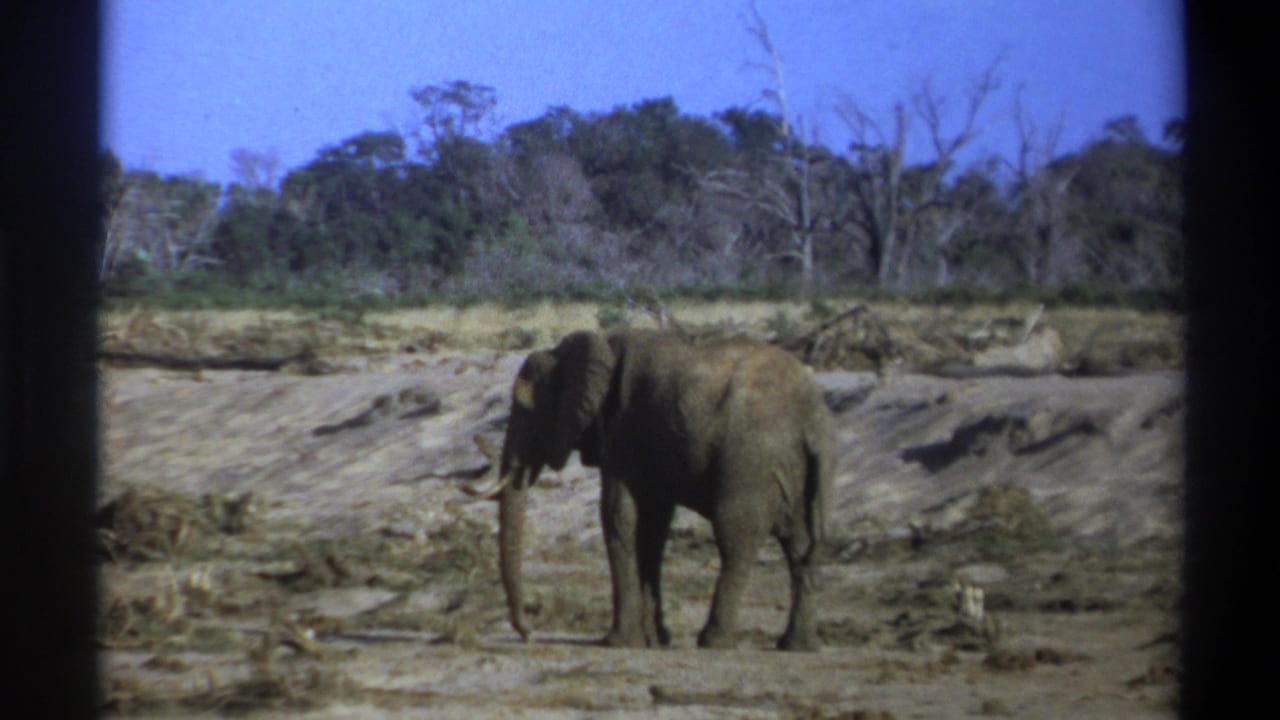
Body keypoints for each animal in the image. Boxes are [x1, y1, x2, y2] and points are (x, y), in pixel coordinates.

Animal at [464, 329, 834, 651]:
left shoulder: (623, 432)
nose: (528, 633)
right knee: (799, 545)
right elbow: (653, 527)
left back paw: (713, 641)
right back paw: (798, 646)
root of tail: (813, 420)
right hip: (794, 470)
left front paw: (617, 642)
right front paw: (655, 640)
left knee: (735, 539)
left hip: (750, 462)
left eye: (526, 408)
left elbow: (619, 516)